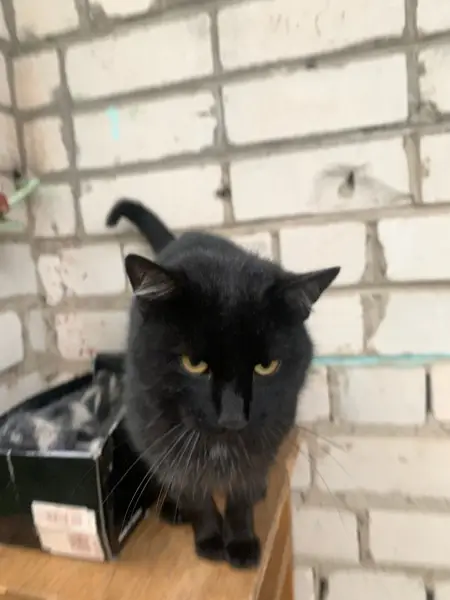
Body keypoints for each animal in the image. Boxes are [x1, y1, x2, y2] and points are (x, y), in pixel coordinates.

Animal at [106, 199, 340, 569]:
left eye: (266, 366)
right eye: (194, 364)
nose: (233, 416)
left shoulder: (264, 438)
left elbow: (241, 493)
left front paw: (241, 541)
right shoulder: (163, 440)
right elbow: (194, 493)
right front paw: (209, 538)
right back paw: (173, 508)